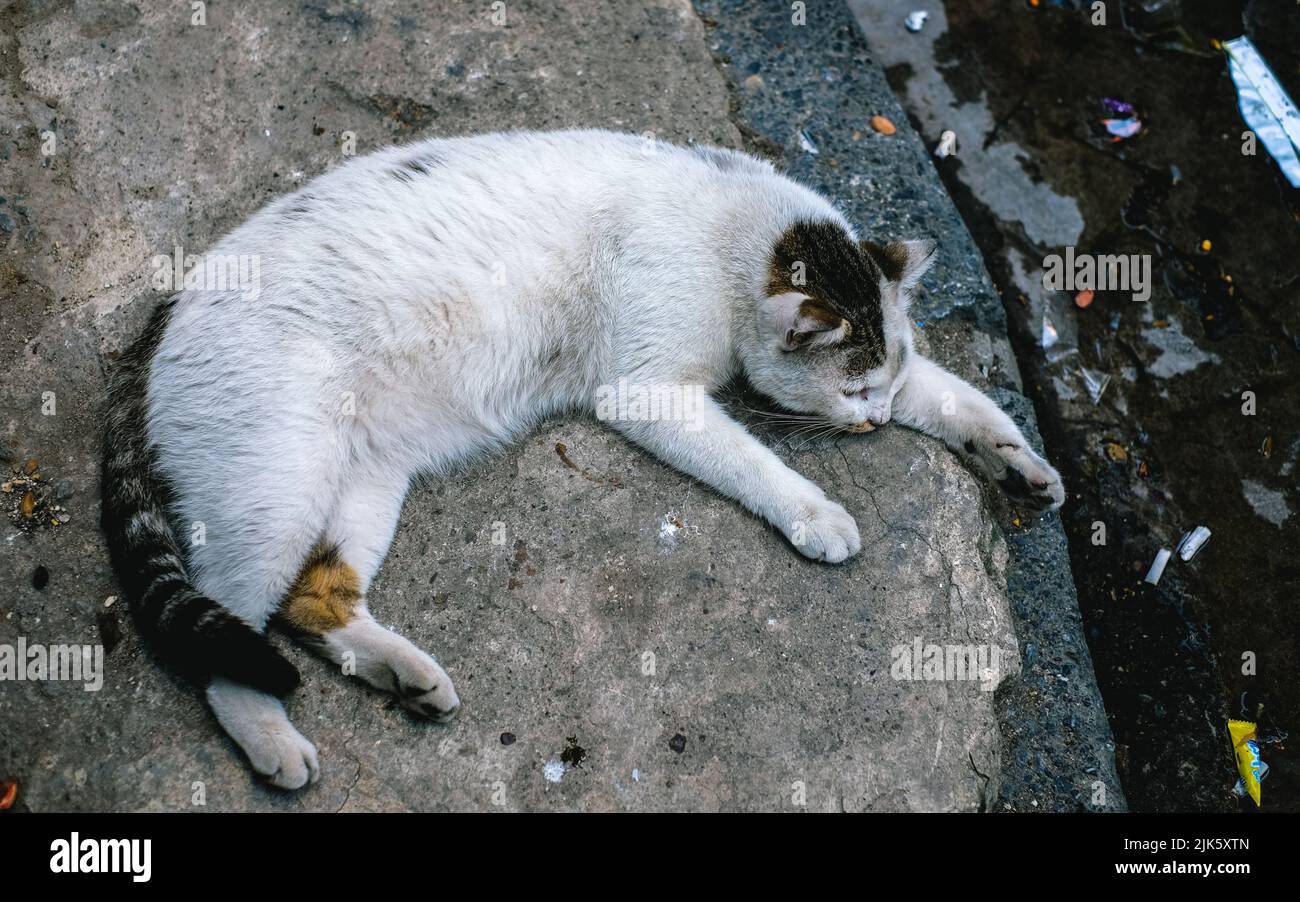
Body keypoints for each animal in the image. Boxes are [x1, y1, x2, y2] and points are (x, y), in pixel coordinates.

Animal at [104, 128, 1066, 790]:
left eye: (882, 385)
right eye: (855, 389)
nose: (873, 423)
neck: (734, 229)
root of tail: (160, 319)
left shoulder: (908, 381)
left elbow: (959, 401)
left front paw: (1021, 463)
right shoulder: (647, 393)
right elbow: (754, 462)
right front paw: (817, 512)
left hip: (366, 481)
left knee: (312, 601)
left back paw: (408, 678)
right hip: (280, 486)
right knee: (227, 629)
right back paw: (274, 741)